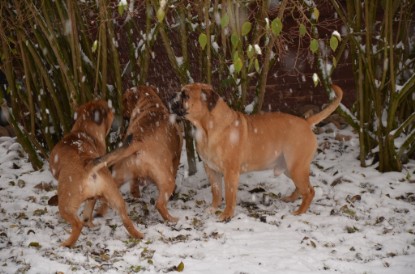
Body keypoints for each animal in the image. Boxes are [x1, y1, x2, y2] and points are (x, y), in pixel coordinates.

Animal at [49, 99, 144, 247]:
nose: (122, 117)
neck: (84, 129)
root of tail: (88, 165)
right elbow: (89, 209)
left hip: (65, 205)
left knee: (77, 224)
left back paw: (67, 243)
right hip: (115, 195)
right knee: (125, 219)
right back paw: (138, 235)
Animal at [96, 85, 184, 223]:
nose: (123, 115)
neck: (150, 104)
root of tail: (137, 143)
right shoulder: (176, 157)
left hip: (119, 175)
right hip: (167, 180)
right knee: (159, 204)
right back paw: (172, 219)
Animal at [171, 82, 342, 222]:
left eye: (185, 95)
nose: (172, 95)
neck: (207, 128)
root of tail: (306, 122)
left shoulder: (230, 172)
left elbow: (229, 195)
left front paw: (226, 215)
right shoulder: (211, 169)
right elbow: (216, 191)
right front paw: (213, 208)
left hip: (296, 167)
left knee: (310, 191)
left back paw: (299, 212)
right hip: (290, 167)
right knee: (302, 188)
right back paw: (290, 200)